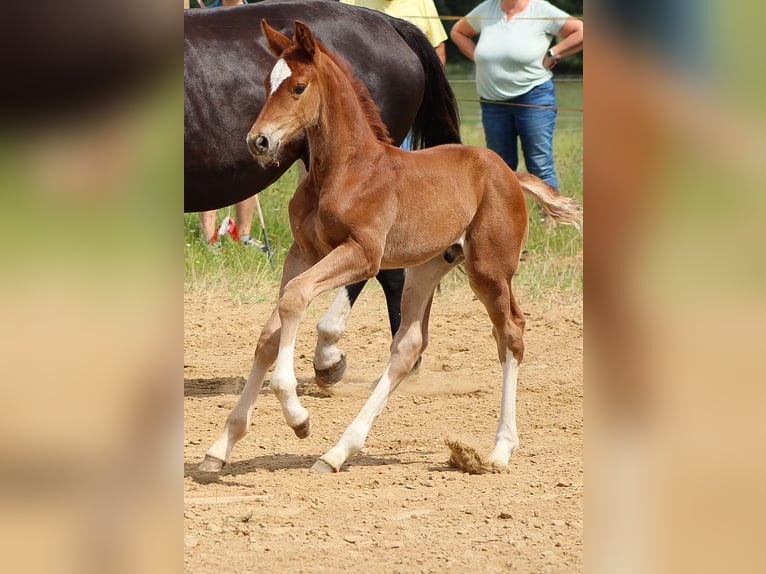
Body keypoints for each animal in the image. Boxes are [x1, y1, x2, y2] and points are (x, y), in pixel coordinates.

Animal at [200, 20, 584, 474]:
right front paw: (220, 447)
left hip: (489, 269)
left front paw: (298, 418)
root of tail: (509, 172)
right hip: (428, 267)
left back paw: (500, 449)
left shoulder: (363, 255)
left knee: (510, 332)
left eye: (298, 87)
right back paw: (338, 451)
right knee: (408, 346)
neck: (346, 170)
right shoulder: (303, 252)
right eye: (266, 84)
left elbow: (294, 299)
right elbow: (269, 335)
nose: (258, 141)